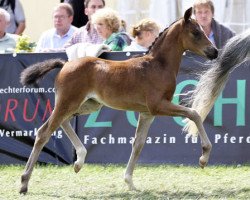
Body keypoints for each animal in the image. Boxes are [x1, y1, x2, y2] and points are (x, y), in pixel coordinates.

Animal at [19, 7, 218, 194]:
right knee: (44, 132)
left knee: (63, 122)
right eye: (196, 32)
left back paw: (79, 161)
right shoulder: (158, 106)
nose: (214, 52)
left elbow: (138, 144)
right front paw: (204, 157)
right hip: (68, 102)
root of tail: (64, 64)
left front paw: (129, 182)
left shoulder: (147, 113)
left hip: (87, 105)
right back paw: (24, 182)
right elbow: (194, 114)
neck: (158, 66)